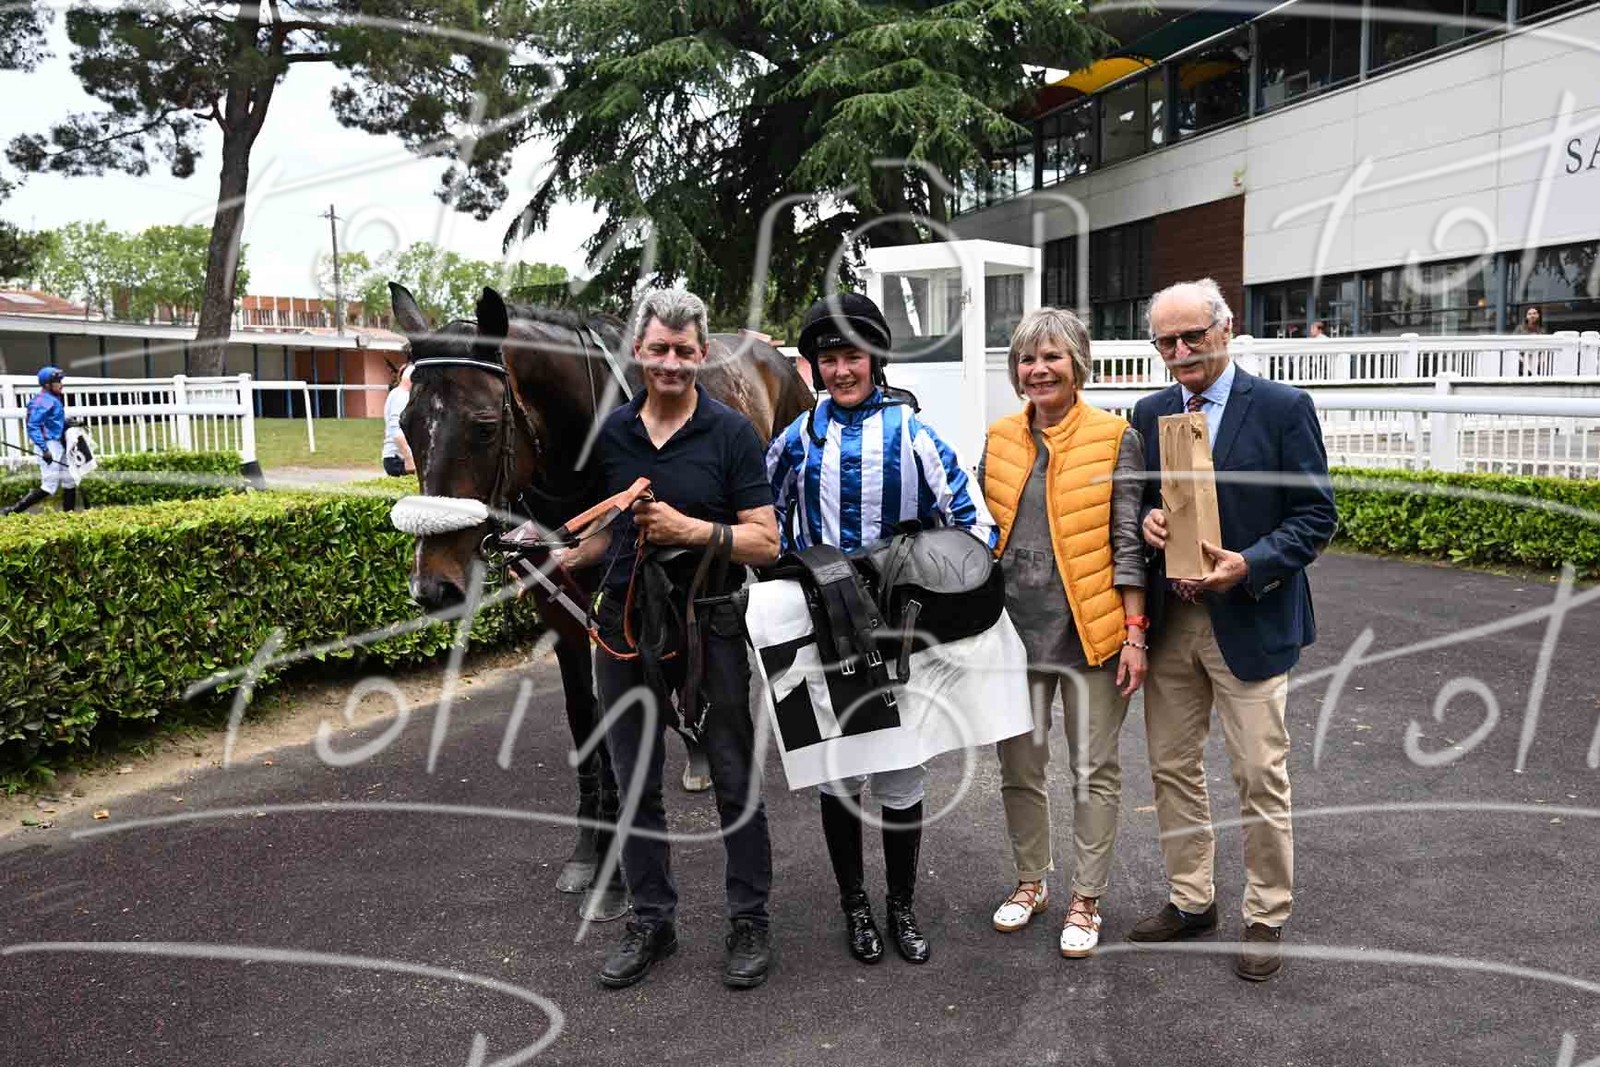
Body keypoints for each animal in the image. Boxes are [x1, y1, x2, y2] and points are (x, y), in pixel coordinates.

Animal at [387, 282, 813, 918]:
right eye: (409, 423)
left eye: (485, 426)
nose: (434, 585)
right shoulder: (561, 608)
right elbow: (585, 718)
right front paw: (589, 851)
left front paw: (614, 873)